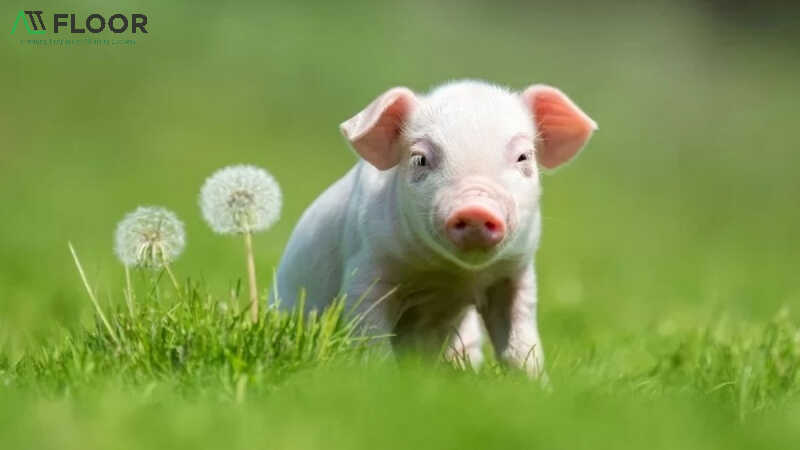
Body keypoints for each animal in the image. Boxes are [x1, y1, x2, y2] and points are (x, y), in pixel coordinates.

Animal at [274, 80, 596, 375]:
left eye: (523, 157)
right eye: (420, 159)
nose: (476, 208)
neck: (449, 275)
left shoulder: (514, 271)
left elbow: (520, 343)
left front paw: (536, 387)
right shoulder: (365, 264)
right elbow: (371, 331)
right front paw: (381, 378)